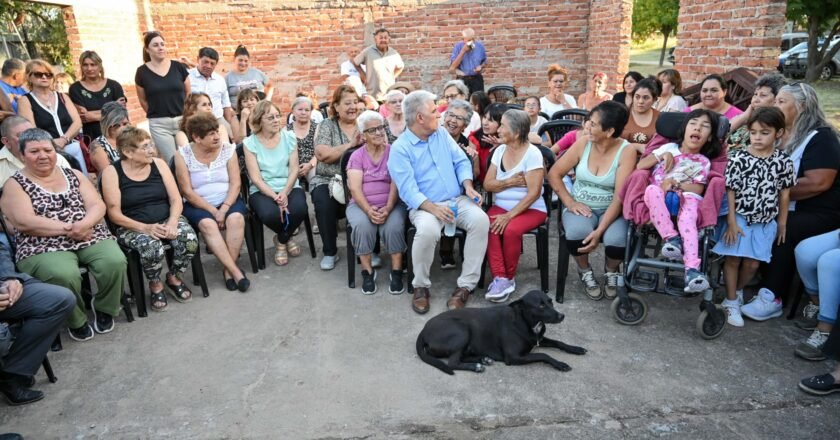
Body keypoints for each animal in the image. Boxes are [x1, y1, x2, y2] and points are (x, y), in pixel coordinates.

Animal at [414, 288, 584, 374]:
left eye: (551, 302)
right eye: (541, 305)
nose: (562, 316)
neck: (524, 322)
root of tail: (423, 330)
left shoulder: (538, 339)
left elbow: (559, 342)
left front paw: (576, 348)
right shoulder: (513, 357)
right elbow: (543, 355)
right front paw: (560, 364)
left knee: (462, 357)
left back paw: (483, 359)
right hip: (462, 331)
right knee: (453, 363)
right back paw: (476, 366)